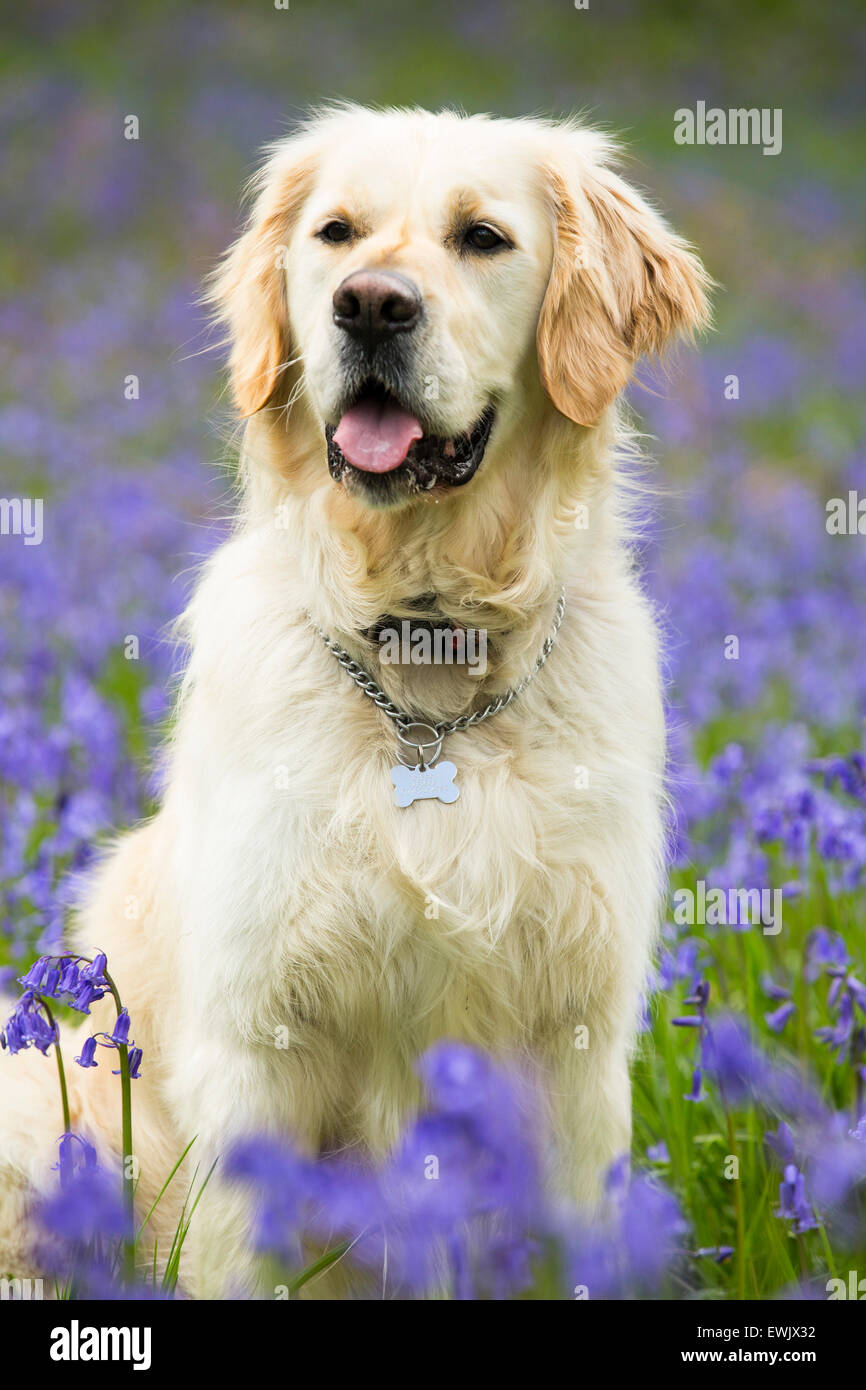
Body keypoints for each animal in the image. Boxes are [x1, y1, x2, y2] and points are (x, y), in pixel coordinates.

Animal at [0, 102, 711, 1295]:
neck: (425, 675)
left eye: (482, 237)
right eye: (336, 233)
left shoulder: (573, 1044)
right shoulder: (260, 1037)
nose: (370, 304)